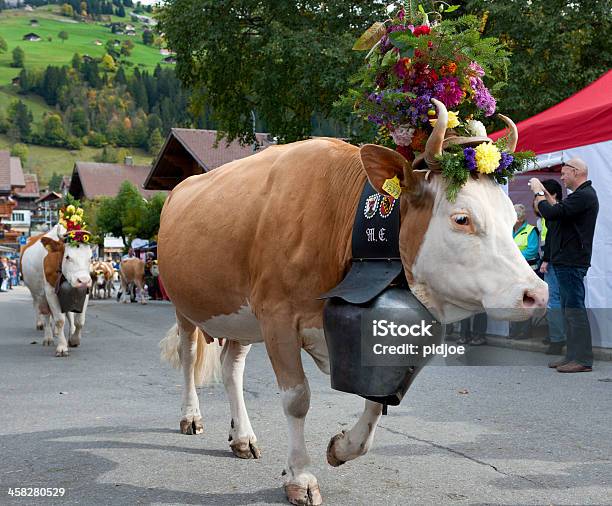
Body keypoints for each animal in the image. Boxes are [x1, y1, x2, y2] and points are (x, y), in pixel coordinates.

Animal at [20, 205, 92, 356]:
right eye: (68, 257)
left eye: (91, 257)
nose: (83, 280)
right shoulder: (51, 291)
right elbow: (59, 320)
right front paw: (62, 347)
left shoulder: (85, 290)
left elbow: (79, 321)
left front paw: (74, 339)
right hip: (39, 294)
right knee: (45, 314)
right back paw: (48, 337)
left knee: (69, 315)